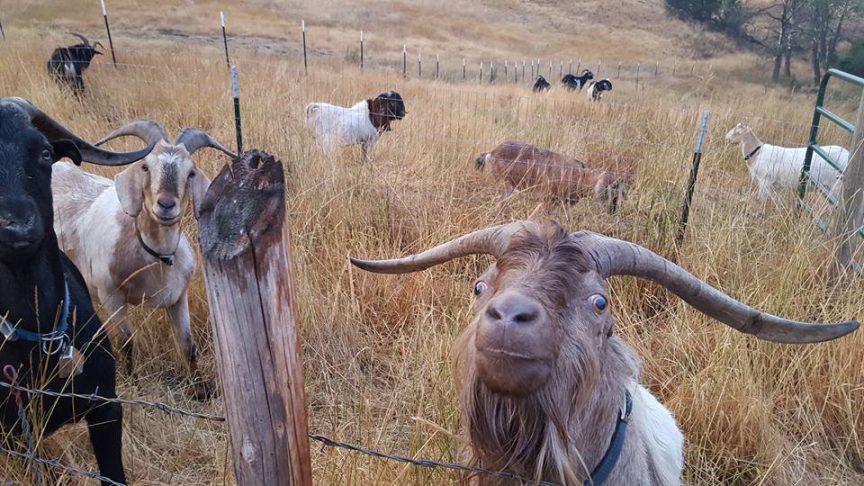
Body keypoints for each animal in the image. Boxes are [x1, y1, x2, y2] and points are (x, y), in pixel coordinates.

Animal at [52, 120, 235, 398]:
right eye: (145, 166)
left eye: (191, 173)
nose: (166, 205)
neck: (155, 255)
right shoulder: (111, 295)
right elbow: (127, 341)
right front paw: (134, 385)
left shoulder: (178, 296)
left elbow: (187, 344)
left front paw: (201, 391)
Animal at [476, 139, 632, 211]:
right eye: (610, 186)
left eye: (619, 188)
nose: (613, 209)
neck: (580, 175)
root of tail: (492, 152)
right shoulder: (547, 202)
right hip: (505, 187)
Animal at [724, 124, 852, 204]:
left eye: (736, 132)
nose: (725, 137)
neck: (757, 153)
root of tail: (848, 153)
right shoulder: (775, 186)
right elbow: (776, 202)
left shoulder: (764, 182)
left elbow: (761, 201)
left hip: (837, 187)